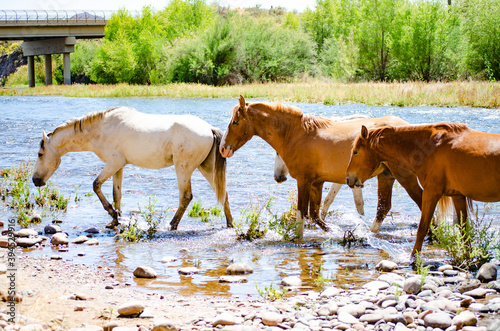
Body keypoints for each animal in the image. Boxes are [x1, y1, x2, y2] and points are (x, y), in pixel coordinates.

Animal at [33, 107, 232, 231]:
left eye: (40, 154)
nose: (36, 180)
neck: (101, 129)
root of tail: (209, 128)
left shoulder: (113, 163)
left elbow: (96, 185)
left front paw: (113, 213)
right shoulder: (118, 166)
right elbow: (117, 194)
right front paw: (115, 221)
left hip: (183, 168)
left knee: (186, 197)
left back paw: (171, 225)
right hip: (205, 168)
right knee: (223, 193)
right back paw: (230, 223)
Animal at [220, 96, 426, 239]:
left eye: (235, 122)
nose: (223, 149)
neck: (298, 135)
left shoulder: (303, 181)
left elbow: (302, 214)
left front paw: (299, 238)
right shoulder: (316, 182)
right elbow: (315, 215)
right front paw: (333, 231)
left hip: (403, 176)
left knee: (421, 200)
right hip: (386, 176)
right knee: (383, 208)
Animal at [346, 124, 500, 256]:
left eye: (355, 152)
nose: (348, 178)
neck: (430, 146)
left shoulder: (431, 193)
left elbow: (422, 228)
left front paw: (413, 259)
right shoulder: (457, 196)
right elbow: (464, 230)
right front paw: (468, 258)